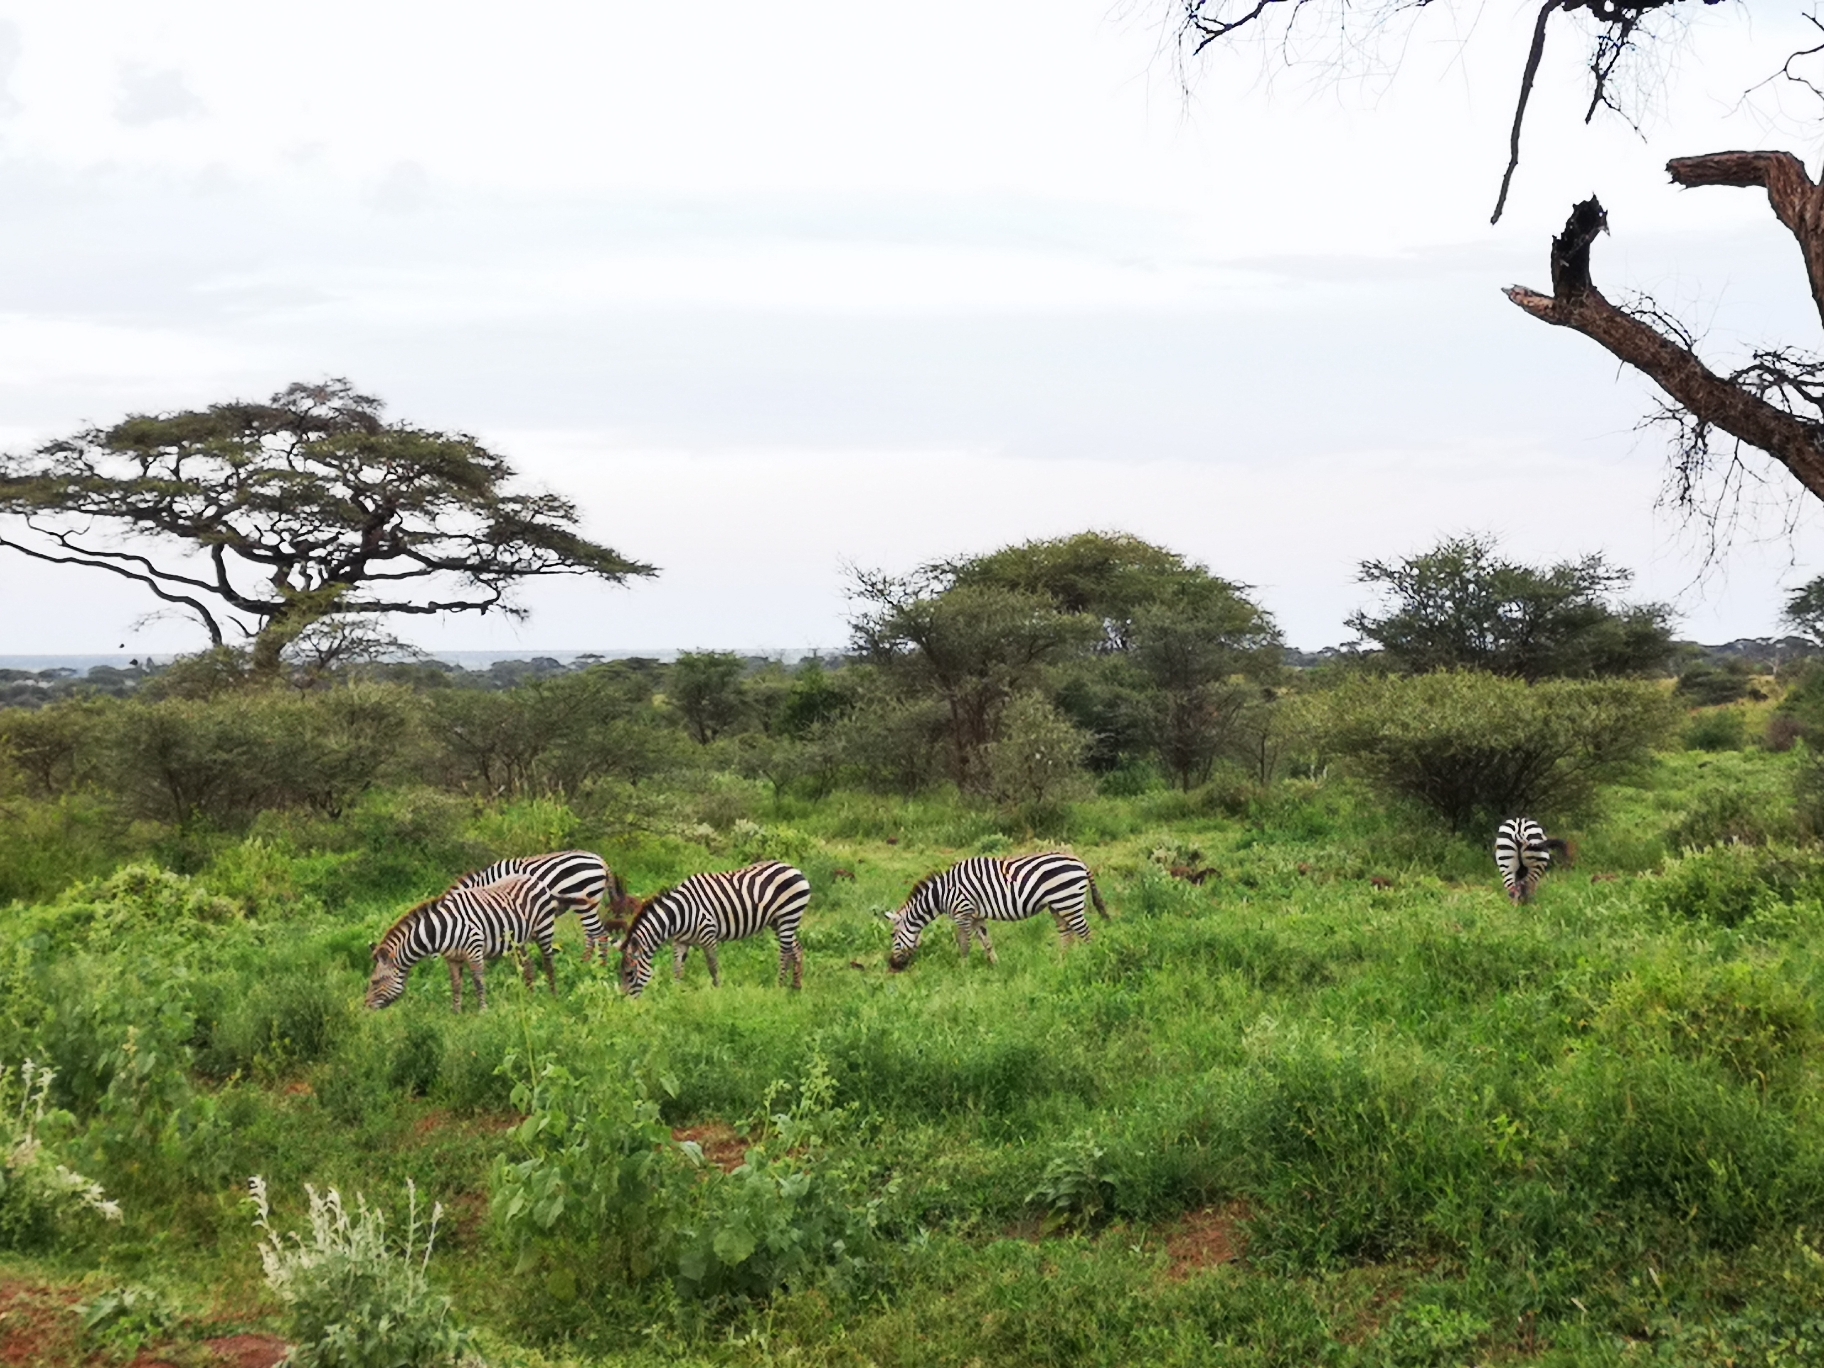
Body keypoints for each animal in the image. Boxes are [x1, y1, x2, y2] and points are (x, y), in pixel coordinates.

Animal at [368, 871, 561, 1014]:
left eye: (375, 981)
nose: (366, 1008)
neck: (439, 930)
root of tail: (531, 878)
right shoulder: (453, 958)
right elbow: (456, 984)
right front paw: (456, 1012)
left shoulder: (474, 950)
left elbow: (478, 980)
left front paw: (483, 1010)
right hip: (517, 941)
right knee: (528, 965)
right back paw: (530, 996)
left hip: (544, 929)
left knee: (548, 962)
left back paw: (553, 996)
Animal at [448, 846, 634, 963]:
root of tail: (601, 861)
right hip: (588, 905)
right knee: (591, 935)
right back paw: (585, 962)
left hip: (585, 903)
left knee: (599, 934)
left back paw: (596, 966)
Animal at [616, 860, 809, 999]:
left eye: (630, 973)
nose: (627, 1003)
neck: (679, 915)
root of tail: (795, 869)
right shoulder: (680, 941)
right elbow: (677, 969)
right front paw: (677, 994)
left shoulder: (708, 935)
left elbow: (713, 966)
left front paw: (718, 991)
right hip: (779, 921)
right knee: (796, 949)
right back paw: (796, 987)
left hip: (787, 916)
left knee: (785, 953)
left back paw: (779, 987)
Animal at [886, 857, 1101, 977]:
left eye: (893, 936)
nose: (892, 965)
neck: (942, 894)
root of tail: (1081, 863)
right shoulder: (976, 917)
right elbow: (986, 942)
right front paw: (996, 967)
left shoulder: (962, 913)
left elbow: (964, 944)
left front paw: (963, 970)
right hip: (1058, 906)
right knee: (1067, 934)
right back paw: (1062, 963)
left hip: (1068, 900)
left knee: (1086, 934)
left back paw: (1089, 961)